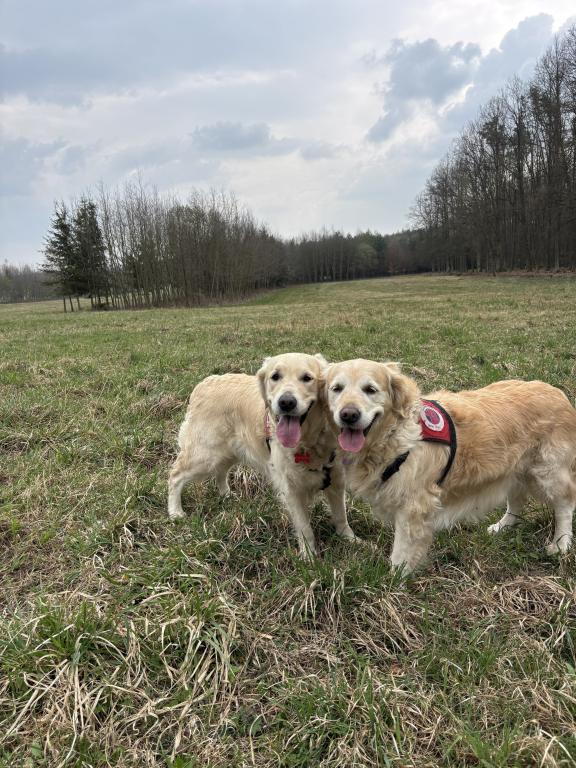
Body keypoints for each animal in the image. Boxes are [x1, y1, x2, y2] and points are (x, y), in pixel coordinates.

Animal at [168, 353, 359, 557]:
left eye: (307, 378)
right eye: (275, 376)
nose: (286, 402)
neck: (309, 441)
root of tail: (204, 383)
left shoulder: (336, 479)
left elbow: (341, 515)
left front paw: (351, 540)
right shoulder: (291, 489)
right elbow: (304, 527)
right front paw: (309, 556)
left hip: (229, 452)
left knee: (221, 471)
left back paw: (226, 494)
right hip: (205, 455)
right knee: (175, 475)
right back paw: (175, 511)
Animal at [325, 359, 576, 573]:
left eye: (370, 389)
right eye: (336, 388)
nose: (348, 415)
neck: (394, 435)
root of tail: (558, 393)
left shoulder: (414, 507)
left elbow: (401, 551)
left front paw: (393, 580)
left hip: (549, 472)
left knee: (564, 505)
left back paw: (561, 543)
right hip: (515, 470)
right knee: (516, 500)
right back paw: (502, 526)